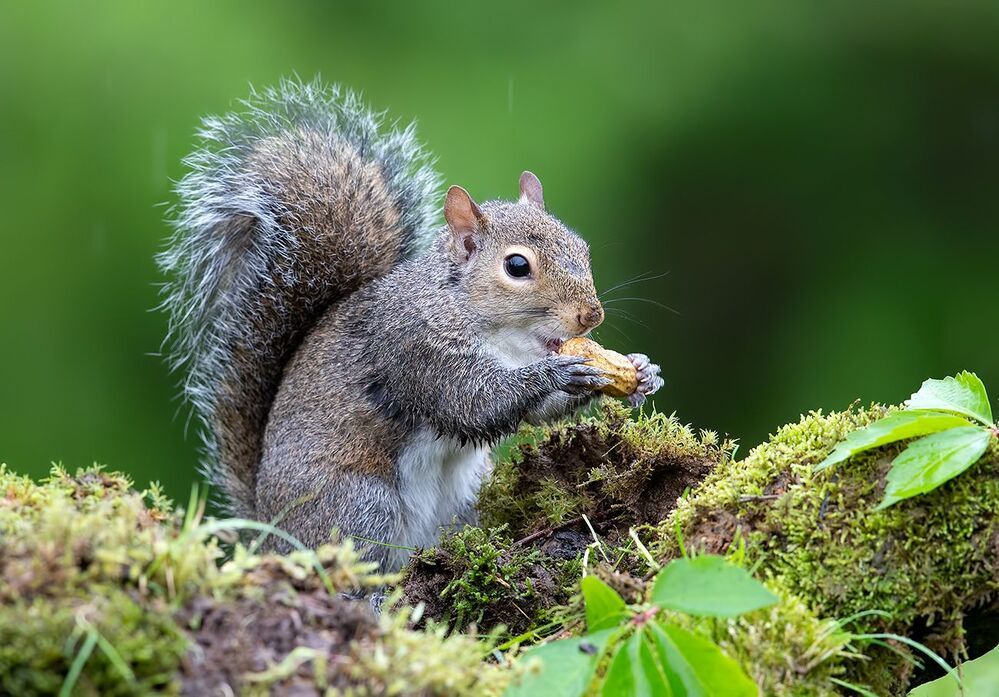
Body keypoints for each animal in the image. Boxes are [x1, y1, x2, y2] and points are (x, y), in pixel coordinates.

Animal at [160, 79, 663, 572]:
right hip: (360, 504)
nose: (591, 315)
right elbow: (473, 401)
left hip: (463, 497)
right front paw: (556, 373)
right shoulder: (416, 349)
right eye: (517, 266)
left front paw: (641, 372)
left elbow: (531, 413)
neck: (501, 336)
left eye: (581, 246)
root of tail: (268, 532)